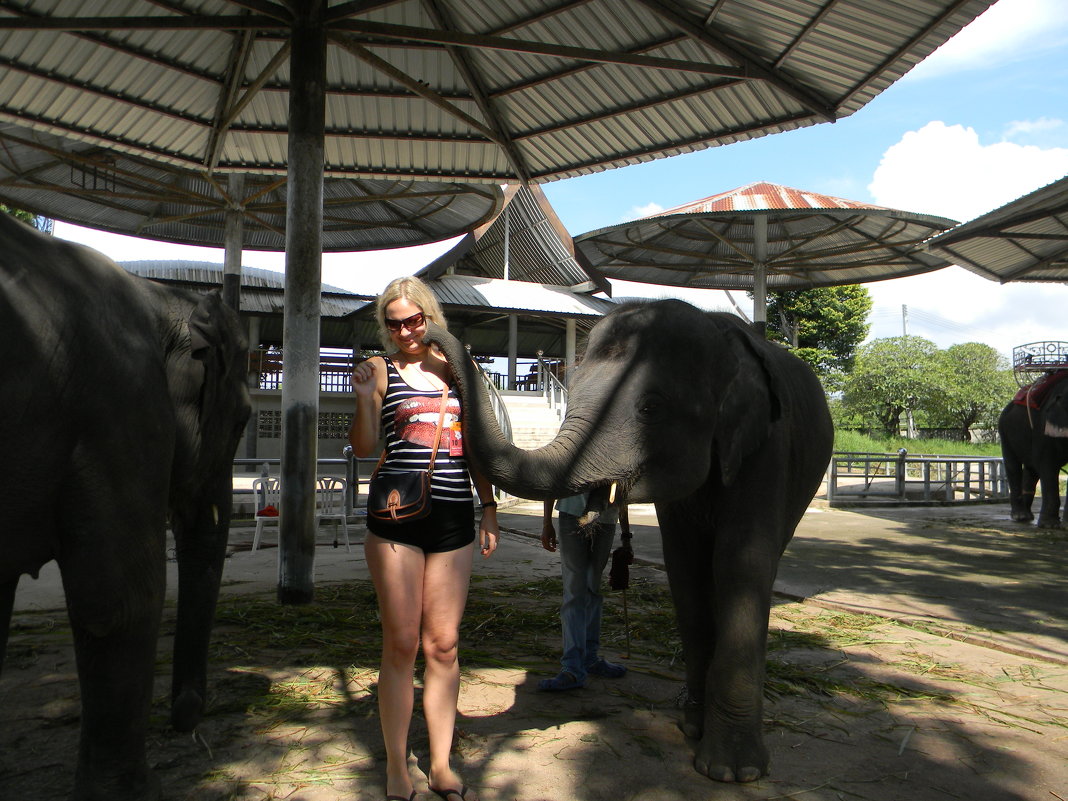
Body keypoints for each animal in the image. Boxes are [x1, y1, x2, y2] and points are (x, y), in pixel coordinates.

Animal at [427, 301, 833, 786]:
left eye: (650, 407)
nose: (428, 332)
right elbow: (684, 567)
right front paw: (695, 731)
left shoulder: (767, 448)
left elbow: (743, 563)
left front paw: (733, 771)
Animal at [995, 373, 1068, 529]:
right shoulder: (1042, 428)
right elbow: (1047, 466)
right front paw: (1050, 525)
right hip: (1004, 430)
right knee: (1013, 466)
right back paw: (1020, 516)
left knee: (1031, 469)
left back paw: (1027, 516)